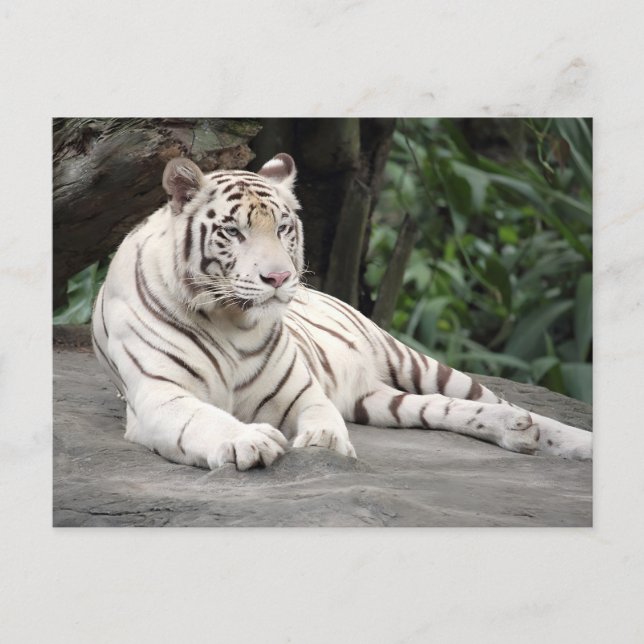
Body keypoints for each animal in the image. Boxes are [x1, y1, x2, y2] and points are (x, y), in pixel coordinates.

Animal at [91, 152, 592, 471]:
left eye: (283, 227)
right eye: (233, 232)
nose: (279, 278)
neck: (231, 320)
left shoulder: (302, 392)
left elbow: (321, 416)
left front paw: (324, 442)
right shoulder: (161, 396)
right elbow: (204, 419)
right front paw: (248, 440)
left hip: (414, 362)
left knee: (503, 402)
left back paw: (564, 438)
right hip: (378, 401)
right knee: (444, 409)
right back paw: (518, 432)